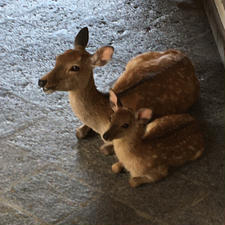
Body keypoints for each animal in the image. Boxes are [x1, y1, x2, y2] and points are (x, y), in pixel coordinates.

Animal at [38, 25, 200, 153]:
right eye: (58, 58)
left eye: (75, 67)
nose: (42, 81)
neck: (101, 121)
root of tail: (184, 56)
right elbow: (78, 132)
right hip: (134, 61)